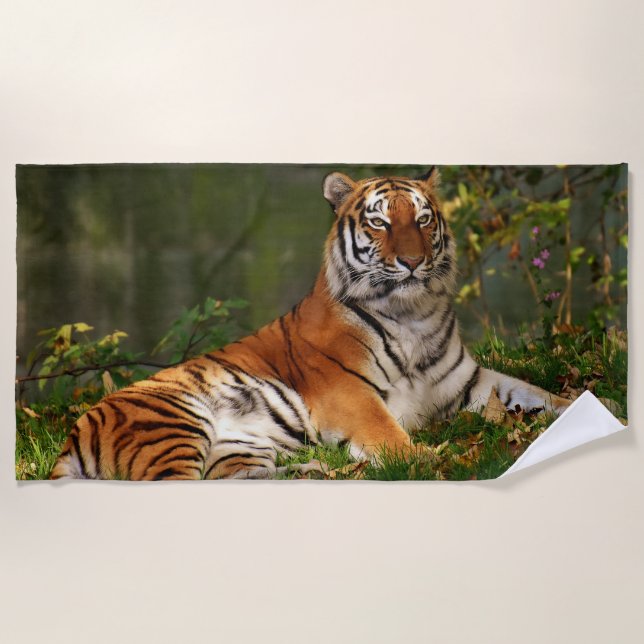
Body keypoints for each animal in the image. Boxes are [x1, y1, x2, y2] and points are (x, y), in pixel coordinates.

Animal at [50, 167, 571, 481]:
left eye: (423, 220)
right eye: (380, 223)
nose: (412, 262)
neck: (413, 317)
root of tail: (76, 430)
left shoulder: (468, 380)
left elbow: (537, 393)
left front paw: (583, 407)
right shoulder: (350, 393)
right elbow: (388, 434)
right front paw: (427, 460)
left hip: (238, 449)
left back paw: (316, 470)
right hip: (172, 424)